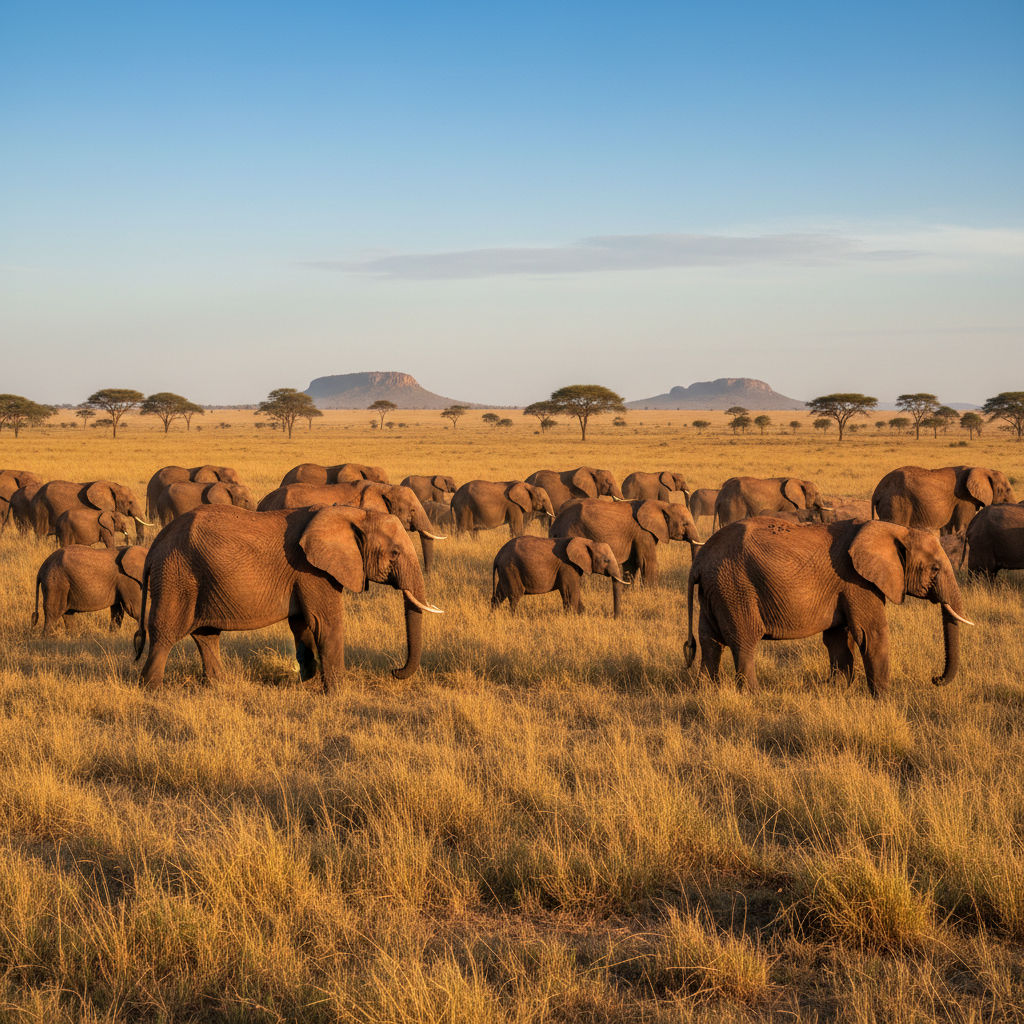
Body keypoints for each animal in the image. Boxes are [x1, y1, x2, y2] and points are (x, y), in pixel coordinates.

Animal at [133, 504, 440, 690]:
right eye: (395, 553)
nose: (394, 671)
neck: (353, 514)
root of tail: (155, 545)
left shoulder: (305, 574)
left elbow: (302, 624)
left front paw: (308, 681)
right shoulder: (312, 569)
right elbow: (325, 624)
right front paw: (339, 692)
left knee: (206, 635)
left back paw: (219, 685)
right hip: (177, 576)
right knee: (166, 634)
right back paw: (152, 688)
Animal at [491, 536, 628, 617]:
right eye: (606, 561)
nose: (615, 618)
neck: (587, 541)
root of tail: (497, 556)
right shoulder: (567, 566)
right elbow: (571, 593)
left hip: (506, 570)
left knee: (499, 595)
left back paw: (492, 616)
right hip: (511, 568)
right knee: (515, 595)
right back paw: (514, 617)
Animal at [683, 518, 971, 697]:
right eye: (935, 569)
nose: (935, 679)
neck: (894, 529)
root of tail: (699, 561)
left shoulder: (844, 587)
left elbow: (838, 638)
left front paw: (836, 689)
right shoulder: (857, 581)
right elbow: (871, 635)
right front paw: (886, 699)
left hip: (715, 590)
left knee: (710, 642)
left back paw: (705, 691)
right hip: (735, 588)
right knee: (744, 641)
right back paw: (753, 695)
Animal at [872, 465, 1017, 535]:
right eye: (1007, 490)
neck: (982, 469)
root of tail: (877, 491)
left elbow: (947, 528)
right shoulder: (964, 498)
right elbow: (963, 525)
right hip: (896, 502)